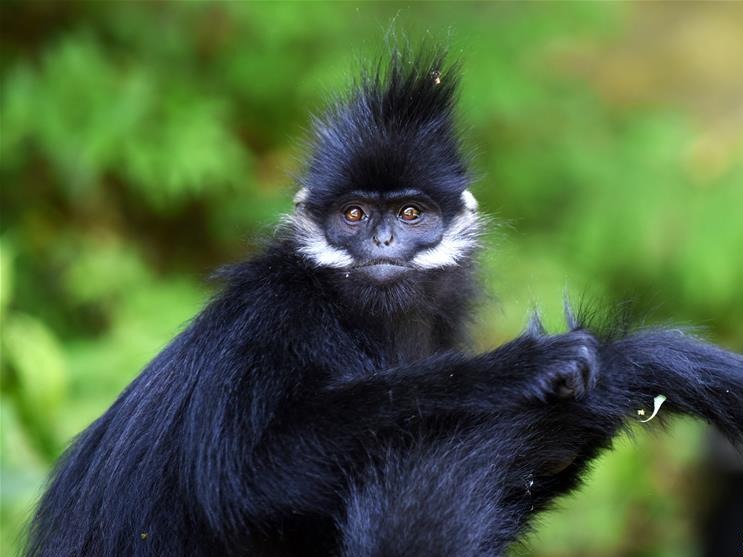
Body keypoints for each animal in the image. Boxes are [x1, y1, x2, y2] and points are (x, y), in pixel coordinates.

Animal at [26, 48, 740, 556]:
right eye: (354, 213)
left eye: (411, 212)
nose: (384, 239)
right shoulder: (269, 314)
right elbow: (243, 478)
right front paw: (516, 369)